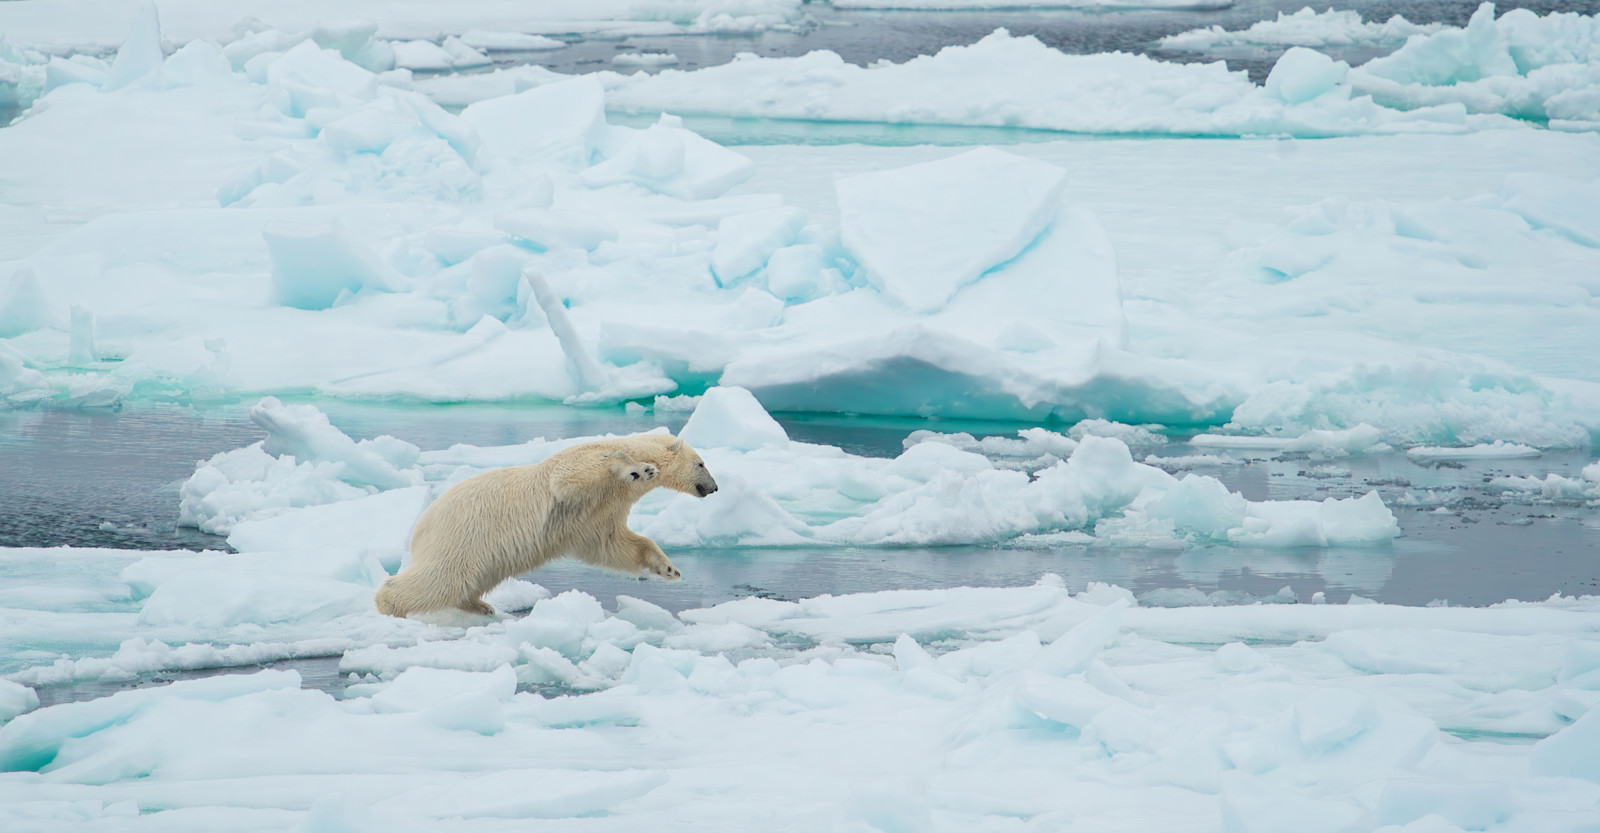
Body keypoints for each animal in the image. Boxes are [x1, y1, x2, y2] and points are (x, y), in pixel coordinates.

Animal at [374, 433, 718, 618]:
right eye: (701, 463)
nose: (714, 488)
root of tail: (421, 524)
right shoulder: (576, 472)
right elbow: (577, 472)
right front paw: (640, 469)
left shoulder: (598, 514)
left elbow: (613, 544)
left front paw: (668, 569)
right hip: (462, 534)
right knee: (441, 578)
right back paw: (388, 604)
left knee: (471, 579)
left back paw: (480, 605)